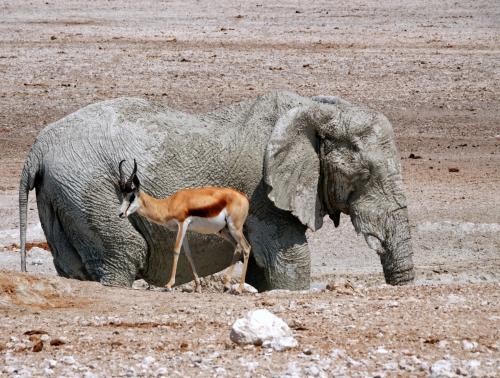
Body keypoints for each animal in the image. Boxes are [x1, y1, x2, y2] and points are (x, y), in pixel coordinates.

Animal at [19, 91, 416, 290]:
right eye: (365, 174)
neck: (316, 109)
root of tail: (37, 148)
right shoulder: (263, 194)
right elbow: (290, 257)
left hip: (63, 195)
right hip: (88, 189)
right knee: (125, 253)